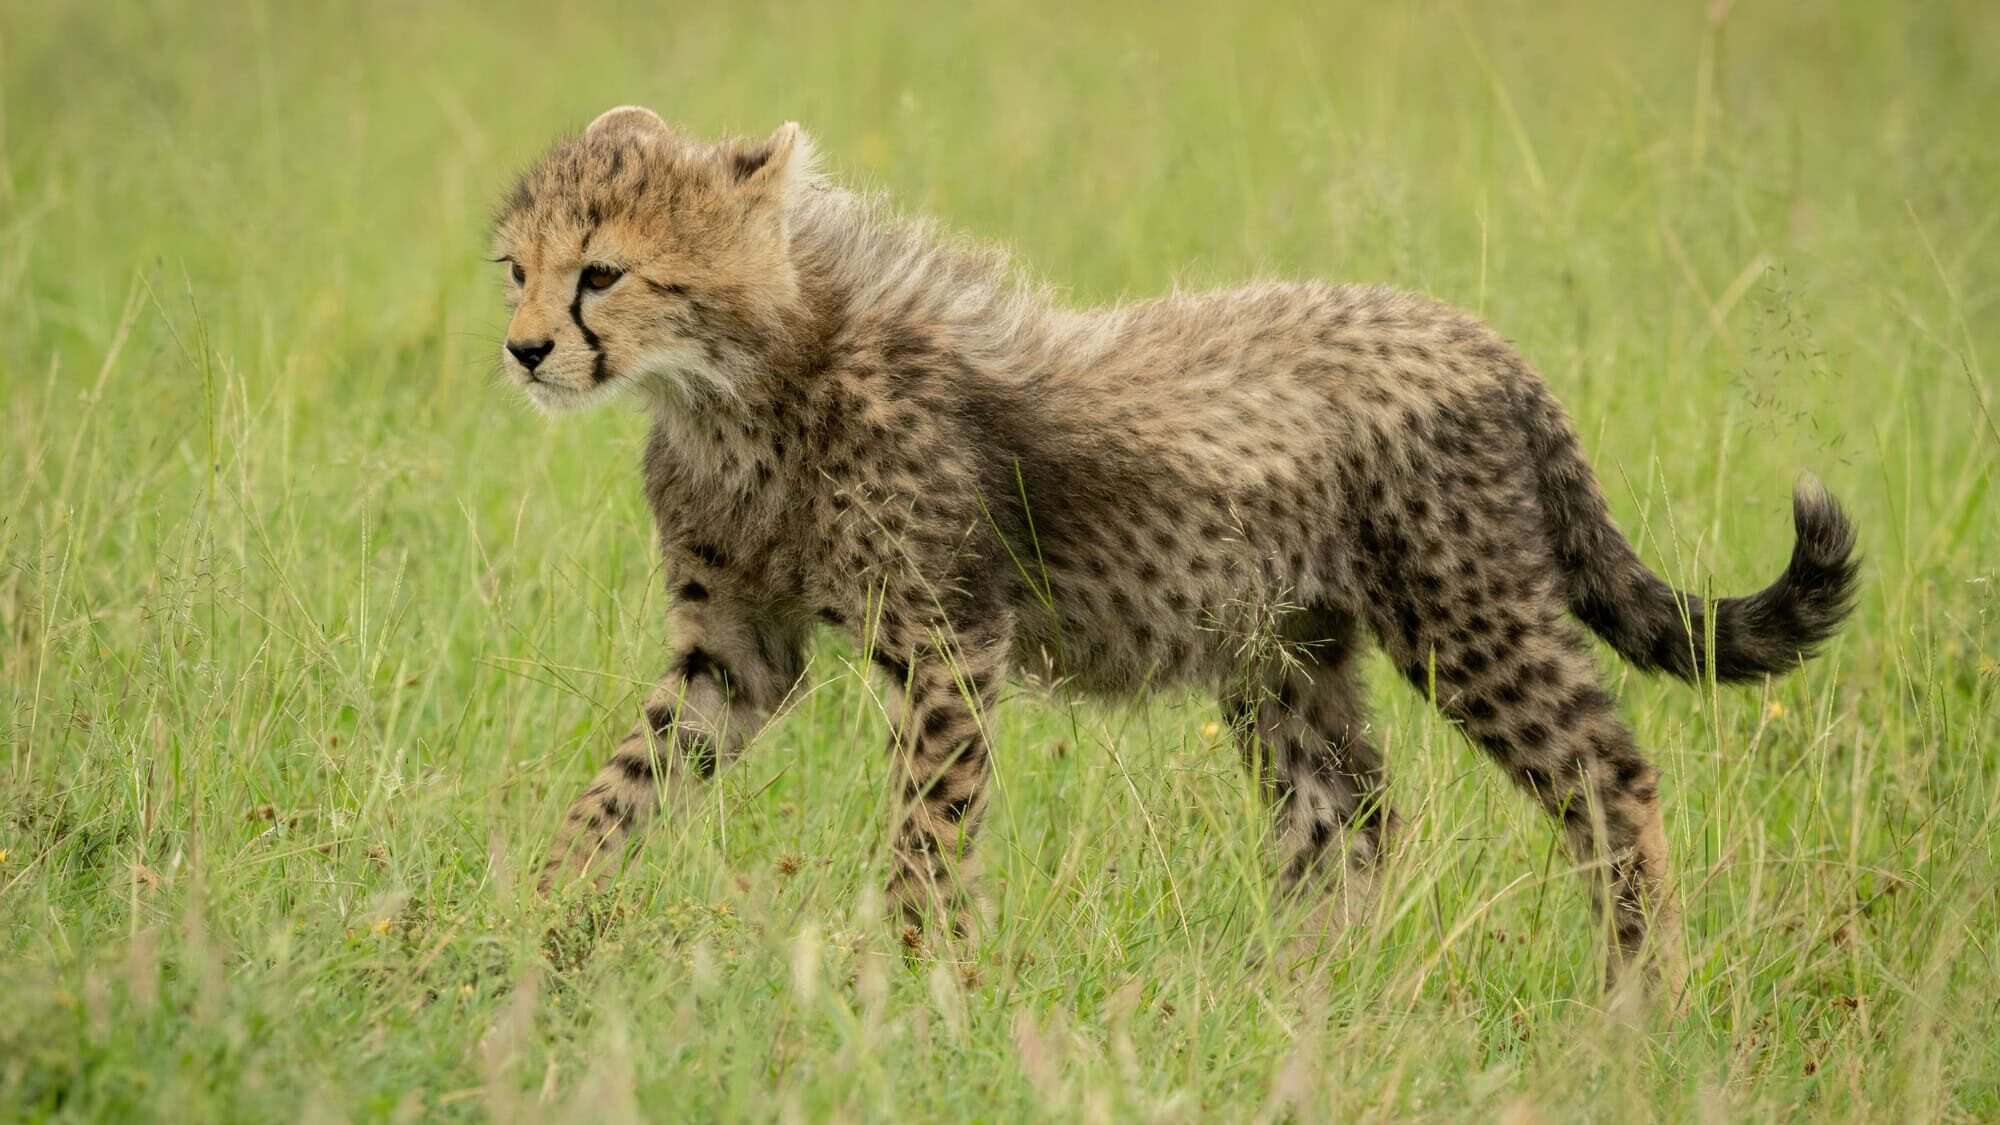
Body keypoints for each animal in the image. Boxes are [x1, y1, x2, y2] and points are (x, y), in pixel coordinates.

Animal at [489, 106, 1859, 1001]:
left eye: (601, 273)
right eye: (515, 269)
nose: (522, 351)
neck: (735, 379)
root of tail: (1476, 335)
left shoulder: (944, 638)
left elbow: (925, 833)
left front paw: (915, 992)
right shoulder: (740, 649)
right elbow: (622, 783)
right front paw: (534, 920)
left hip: (1464, 618)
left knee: (1604, 777)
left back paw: (1635, 1000)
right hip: (1281, 653)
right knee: (1348, 815)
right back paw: (1285, 999)